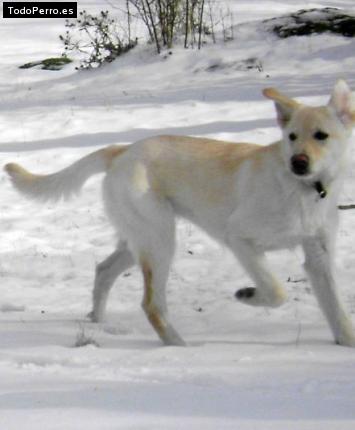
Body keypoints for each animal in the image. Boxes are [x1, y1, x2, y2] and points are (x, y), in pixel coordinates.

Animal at [4, 80, 355, 346]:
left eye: (321, 135)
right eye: (292, 136)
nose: (298, 162)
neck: (304, 190)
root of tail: (122, 150)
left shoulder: (319, 257)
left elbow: (337, 310)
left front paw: (345, 344)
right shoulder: (240, 238)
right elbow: (277, 290)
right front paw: (247, 294)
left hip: (140, 240)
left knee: (103, 270)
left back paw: (98, 319)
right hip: (160, 241)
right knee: (151, 304)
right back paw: (179, 346)